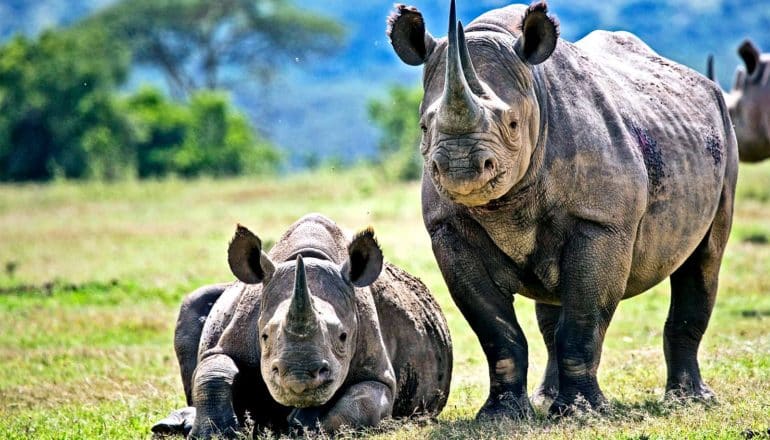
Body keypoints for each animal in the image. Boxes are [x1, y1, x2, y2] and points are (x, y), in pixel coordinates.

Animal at [152, 213, 450, 436]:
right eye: (264, 336)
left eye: (343, 337)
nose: (298, 379)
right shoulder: (233, 336)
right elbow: (214, 367)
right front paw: (214, 433)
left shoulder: (377, 371)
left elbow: (362, 403)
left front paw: (302, 425)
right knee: (194, 304)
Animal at [388, 0, 736, 420]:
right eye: (425, 127)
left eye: (512, 124)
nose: (460, 168)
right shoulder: (449, 229)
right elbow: (495, 330)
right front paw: (501, 415)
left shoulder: (601, 222)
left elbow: (583, 319)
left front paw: (584, 413)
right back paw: (546, 399)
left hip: (724, 133)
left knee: (704, 259)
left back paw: (691, 401)